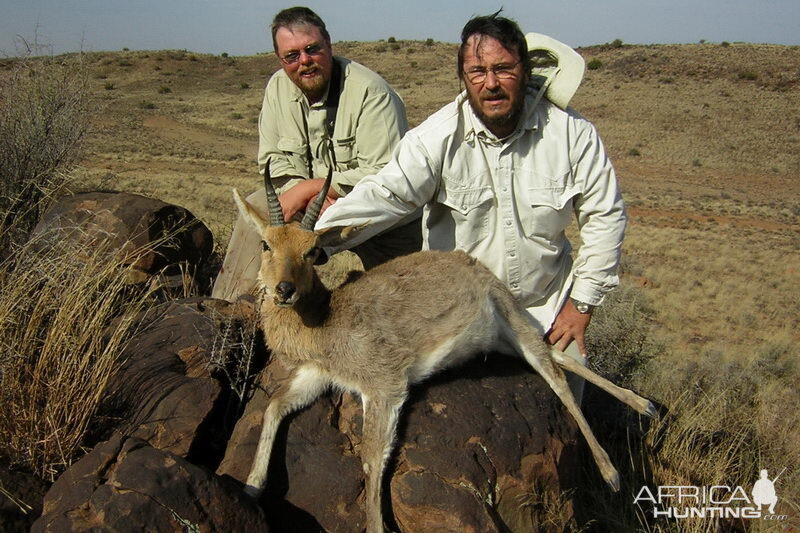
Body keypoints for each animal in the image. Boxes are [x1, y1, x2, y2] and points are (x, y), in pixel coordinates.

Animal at [236, 163, 656, 532]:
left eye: (312, 250)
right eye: (266, 244)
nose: (284, 290)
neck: (325, 321)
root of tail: (469, 262)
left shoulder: (385, 386)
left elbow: (371, 460)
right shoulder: (317, 376)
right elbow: (274, 406)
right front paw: (252, 486)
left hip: (511, 320)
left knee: (556, 376)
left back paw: (613, 472)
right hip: (503, 341)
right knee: (556, 355)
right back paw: (644, 404)